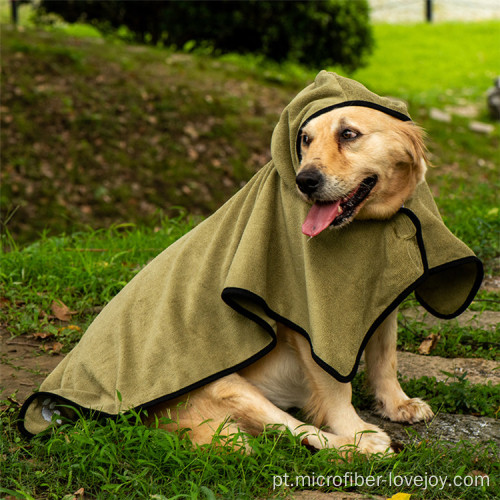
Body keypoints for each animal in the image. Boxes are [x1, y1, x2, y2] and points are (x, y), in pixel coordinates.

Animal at [146, 106, 434, 458]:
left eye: (348, 134)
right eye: (305, 139)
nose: (304, 181)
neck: (365, 228)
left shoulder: (383, 303)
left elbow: (385, 359)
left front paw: (397, 404)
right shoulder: (311, 325)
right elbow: (337, 389)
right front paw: (356, 429)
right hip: (226, 385)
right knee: (296, 431)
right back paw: (361, 445)